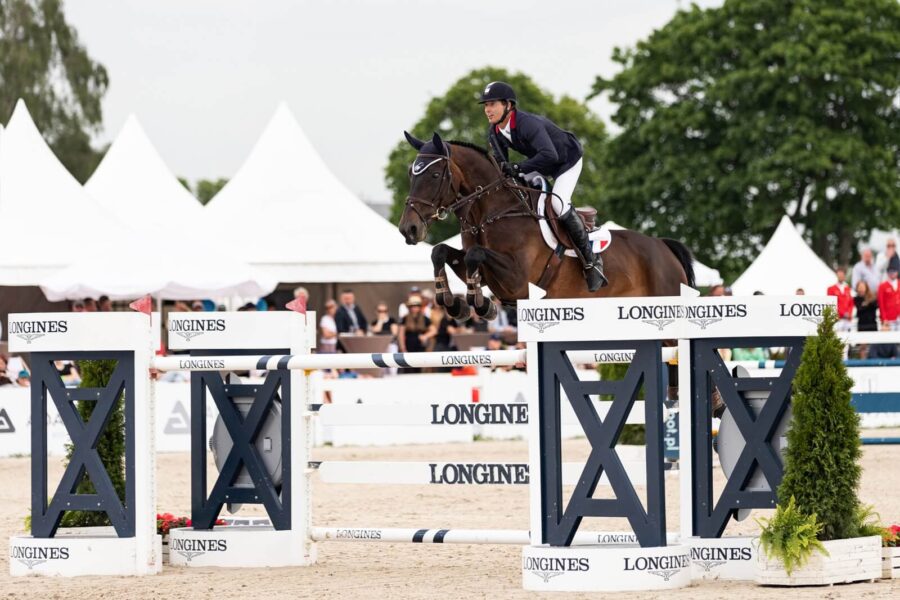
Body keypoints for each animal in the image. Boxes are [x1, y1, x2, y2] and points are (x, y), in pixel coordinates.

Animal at [398, 132, 692, 324]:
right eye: (411, 173)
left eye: (435, 174)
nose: (408, 229)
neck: (491, 213)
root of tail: (664, 246)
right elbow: (440, 252)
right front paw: (455, 304)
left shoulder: (518, 281)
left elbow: (474, 254)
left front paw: (480, 305)